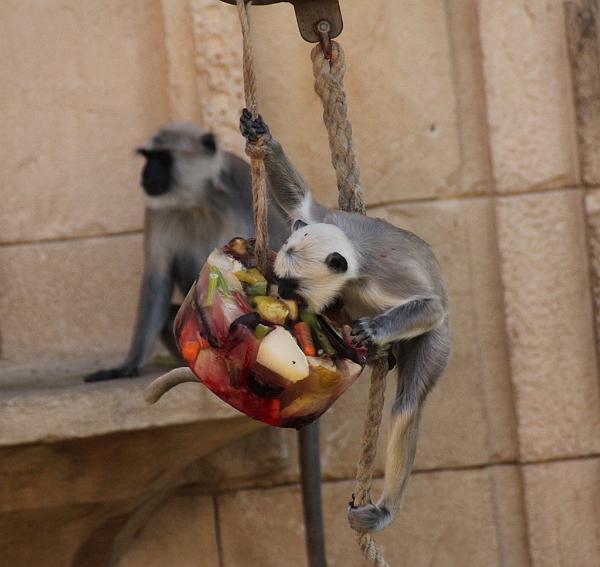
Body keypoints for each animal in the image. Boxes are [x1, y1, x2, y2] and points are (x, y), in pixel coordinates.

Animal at [241, 110, 452, 532]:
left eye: (290, 286)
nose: (281, 297)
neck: (354, 262)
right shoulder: (328, 221)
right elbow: (301, 204)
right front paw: (263, 138)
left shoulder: (387, 272)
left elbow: (433, 305)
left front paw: (373, 330)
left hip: (438, 340)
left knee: (409, 403)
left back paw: (386, 509)